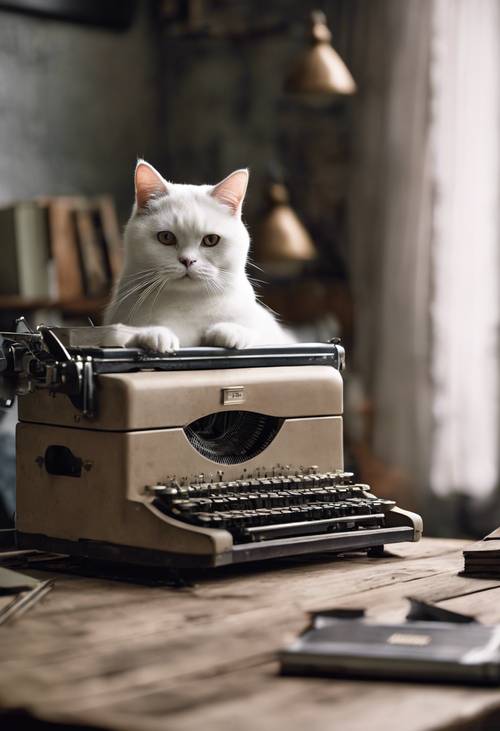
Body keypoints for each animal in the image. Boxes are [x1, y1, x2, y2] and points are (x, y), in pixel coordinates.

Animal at [105, 162, 292, 350]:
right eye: (166, 237)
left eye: (210, 240)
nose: (187, 260)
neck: (187, 304)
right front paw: (156, 334)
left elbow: (255, 333)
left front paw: (232, 331)